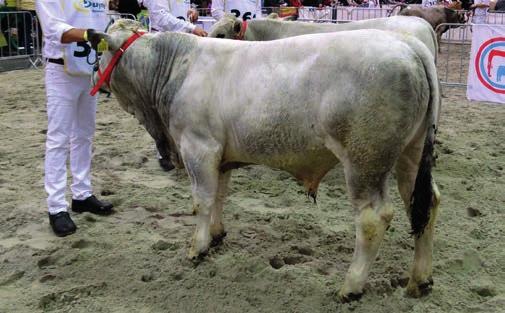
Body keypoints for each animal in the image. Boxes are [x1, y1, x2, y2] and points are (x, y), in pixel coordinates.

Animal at [92, 18, 440, 300]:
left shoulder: (198, 147)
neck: (177, 68)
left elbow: (202, 199)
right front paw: (216, 234)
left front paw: (197, 247)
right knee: (424, 203)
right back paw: (420, 280)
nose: (94, 74)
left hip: (364, 160)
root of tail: (408, 44)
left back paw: (351, 287)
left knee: (373, 218)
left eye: (100, 53)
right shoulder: (220, 155)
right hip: (410, 153)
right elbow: (219, 195)